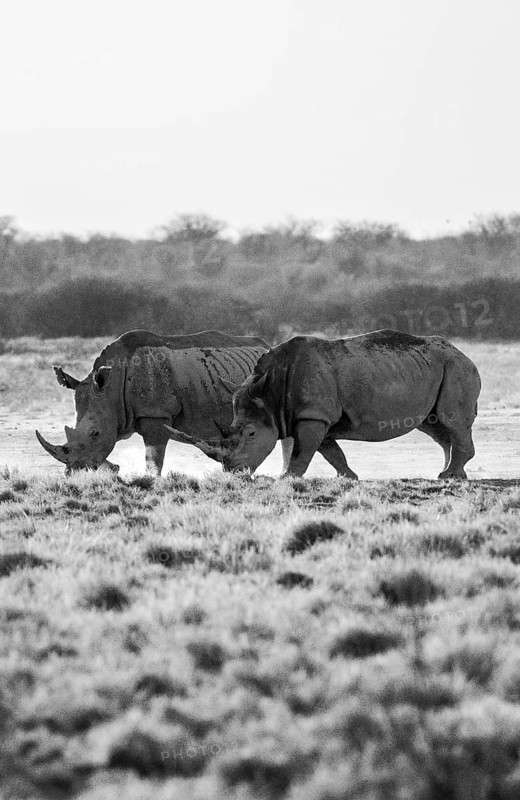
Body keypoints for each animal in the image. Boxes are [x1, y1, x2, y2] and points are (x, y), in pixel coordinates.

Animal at [35, 329, 273, 475]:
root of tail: (267, 347)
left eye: (95, 433)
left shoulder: (156, 413)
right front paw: (114, 469)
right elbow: (103, 450)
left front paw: (150, 479)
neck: (112, 387)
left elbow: (153, 458)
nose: (74, 472)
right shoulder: (116, 414)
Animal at [165, 330, 481, 479]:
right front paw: (349, 478)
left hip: (456, 368)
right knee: (435, 426)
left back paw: (451, 477)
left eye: (251, 434)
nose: (232, 473)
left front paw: (286, 478)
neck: (271, 393)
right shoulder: (319, 417)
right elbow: (331, 452)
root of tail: (463, 353)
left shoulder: (313, 416)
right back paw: (447, 474)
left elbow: (303, 451)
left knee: (452, 420)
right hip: (437, 368)